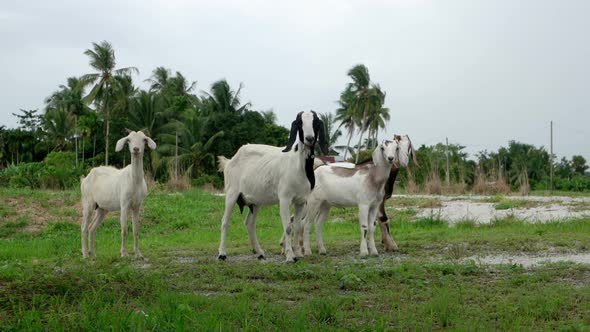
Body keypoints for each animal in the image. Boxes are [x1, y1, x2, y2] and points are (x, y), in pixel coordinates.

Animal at [217, 111, 328, 262]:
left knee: (249, 223)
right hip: (231, 193)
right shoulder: (285, 198)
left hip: (255, 201)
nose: (309, 138)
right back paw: (222, 254)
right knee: (225, 221)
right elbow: (288, 227)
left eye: (315, 122)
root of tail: (229, 161)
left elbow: (297, 226)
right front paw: (290, 256)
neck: (298, 165)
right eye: (300, 123)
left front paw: (298, 253)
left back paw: (259, 252)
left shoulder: (301, 201)